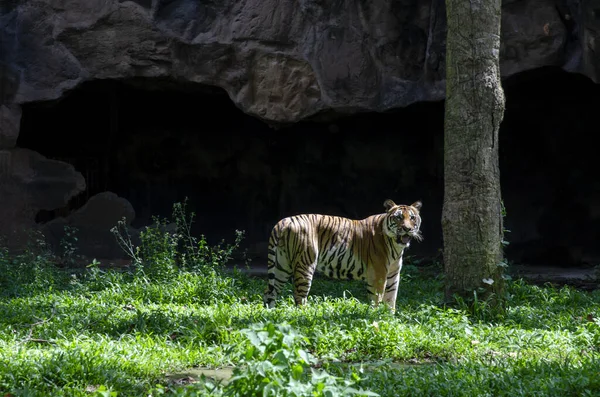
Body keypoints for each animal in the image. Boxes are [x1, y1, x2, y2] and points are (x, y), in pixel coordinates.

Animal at [262, 200, 422, 310]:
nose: (407, 229)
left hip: (281, 266)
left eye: (412, 218)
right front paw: (375, 318)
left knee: (269, 292)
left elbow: (391, 300)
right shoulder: (378, 275)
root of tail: (284, 221)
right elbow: (377, 299)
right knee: (299, 296)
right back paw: (303, 315)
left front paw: (389, 320)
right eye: (398, 217)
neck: (396, 246)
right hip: (305, 264)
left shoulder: (393, 275)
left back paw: (270, 315)